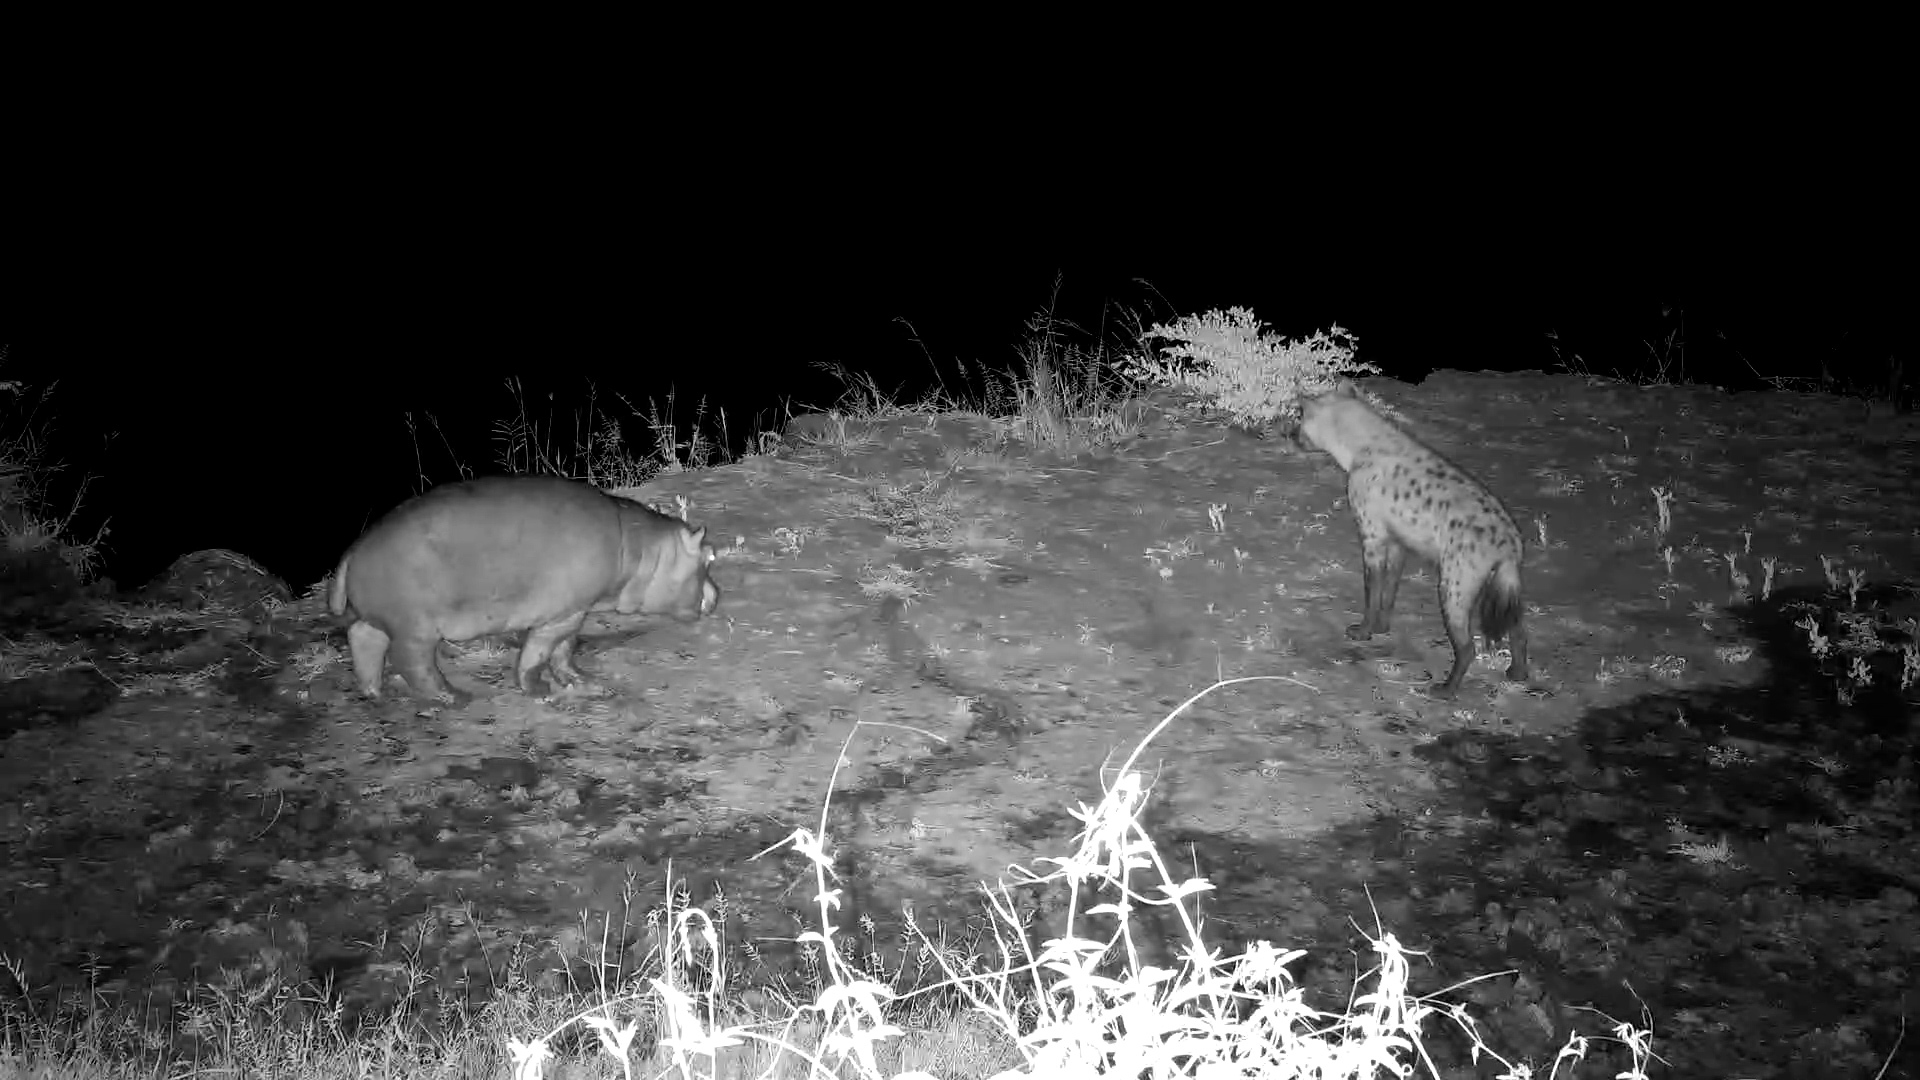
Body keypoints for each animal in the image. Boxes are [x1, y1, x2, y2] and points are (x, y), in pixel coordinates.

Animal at [328, 475, 720, 702]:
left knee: (363, 636)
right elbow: (539, 652)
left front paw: (585, 683)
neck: (642, 550)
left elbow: (565, 651)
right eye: (708, 555)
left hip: (388, 619)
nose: (717, 595)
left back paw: (373, 691)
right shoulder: (560, 615)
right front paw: (538, 691)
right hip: (416, 628)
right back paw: (455, 698)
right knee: (413, 662)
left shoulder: (575, 610)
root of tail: (352, 551)